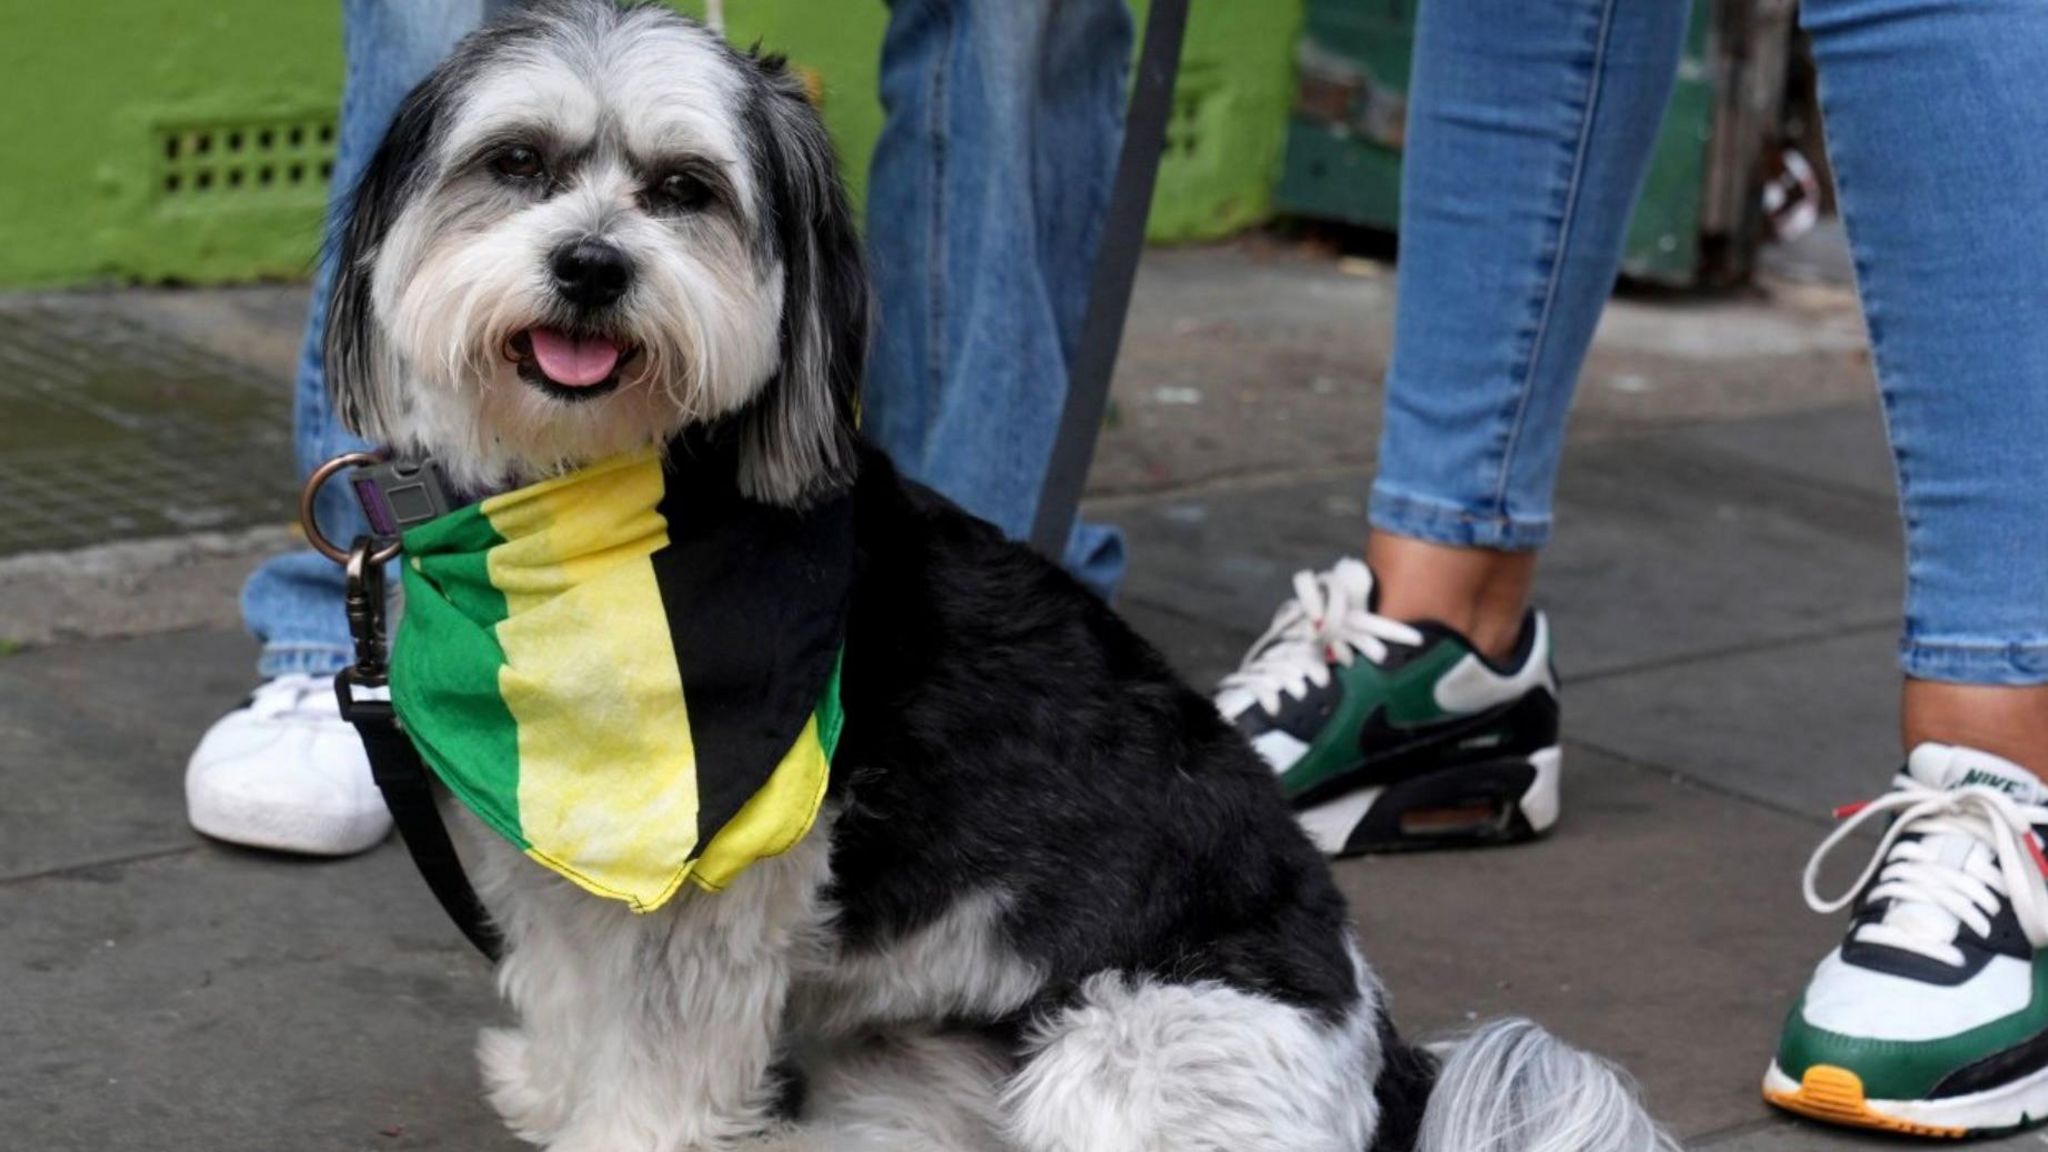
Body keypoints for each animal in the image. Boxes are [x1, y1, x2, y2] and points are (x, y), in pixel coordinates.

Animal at [323, 4, 1679, 1139]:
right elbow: (568, 986)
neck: (592, 513)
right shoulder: (551, 844)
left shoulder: (715, 880)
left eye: (683, 190)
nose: (594, 266)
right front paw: (552, 1093)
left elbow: (657, 1048)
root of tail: (1385, 1058)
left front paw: (616, 1132)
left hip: (1120, 1058)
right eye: (516, 165)